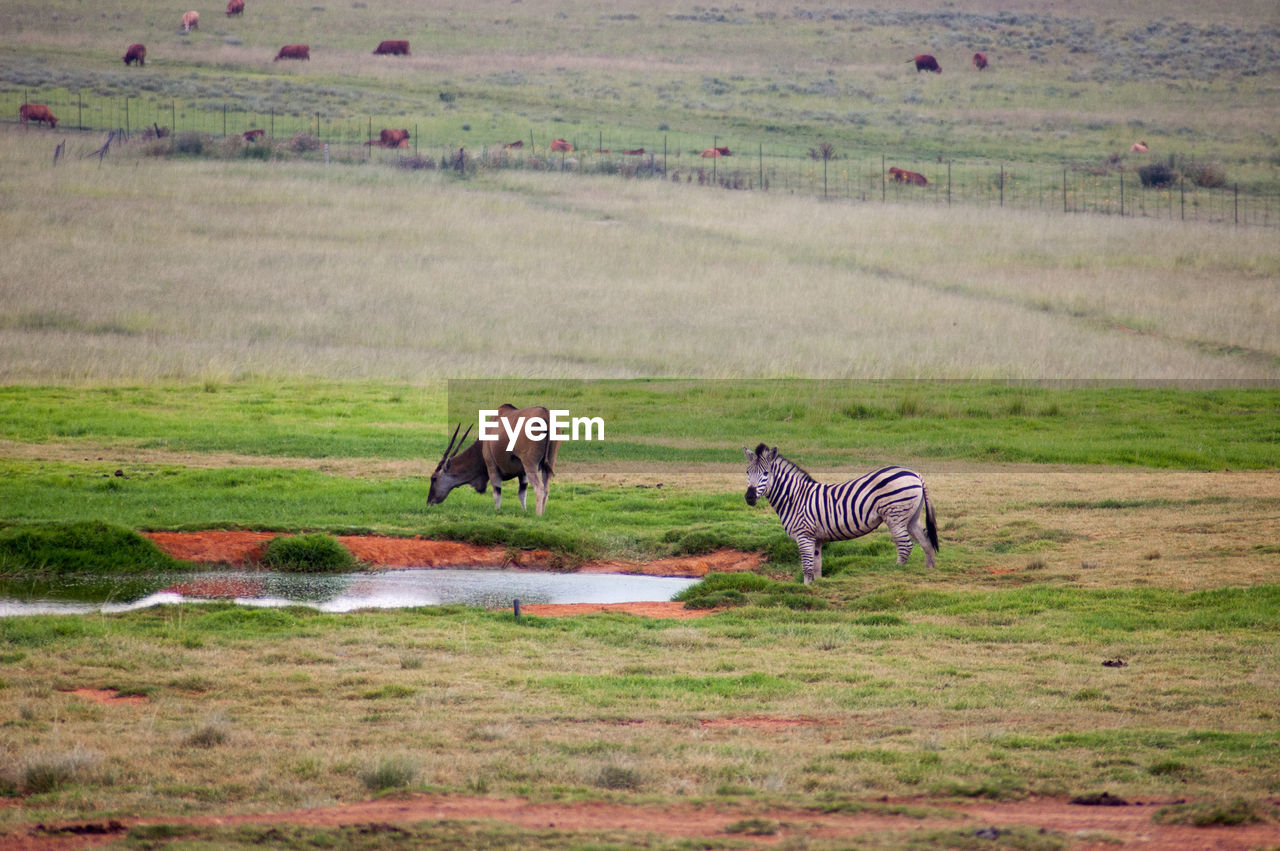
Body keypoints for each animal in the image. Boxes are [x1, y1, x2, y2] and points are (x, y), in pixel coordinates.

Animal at [742, 440, 942, 580]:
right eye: (747, 472)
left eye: (766, 473)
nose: (749, 497)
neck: (795, 498)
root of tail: (915, 473)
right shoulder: (816, 539)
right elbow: (816, 568)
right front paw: (817, 585)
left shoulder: (804, 535)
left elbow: (807, 569)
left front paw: (808, 590)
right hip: (911, 517)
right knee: (926, 542)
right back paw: (929, 571)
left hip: (895, 515)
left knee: (905, 545)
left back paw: (896, 571)